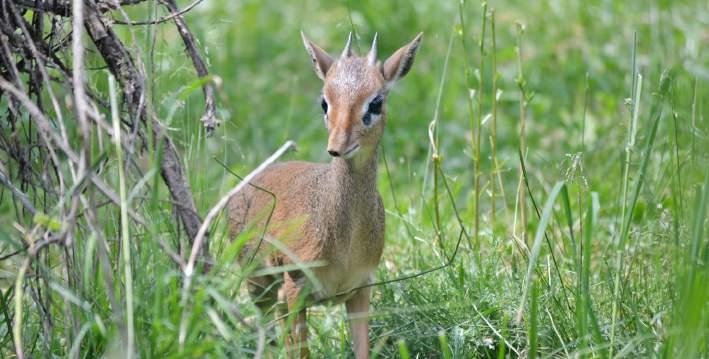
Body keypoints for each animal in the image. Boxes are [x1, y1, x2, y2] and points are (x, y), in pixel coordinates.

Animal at [230, 31, 424, 359]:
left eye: (376, 102)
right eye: (325, 102)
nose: (337, 147)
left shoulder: (360, 289)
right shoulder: (297, 289)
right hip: (260, 285)